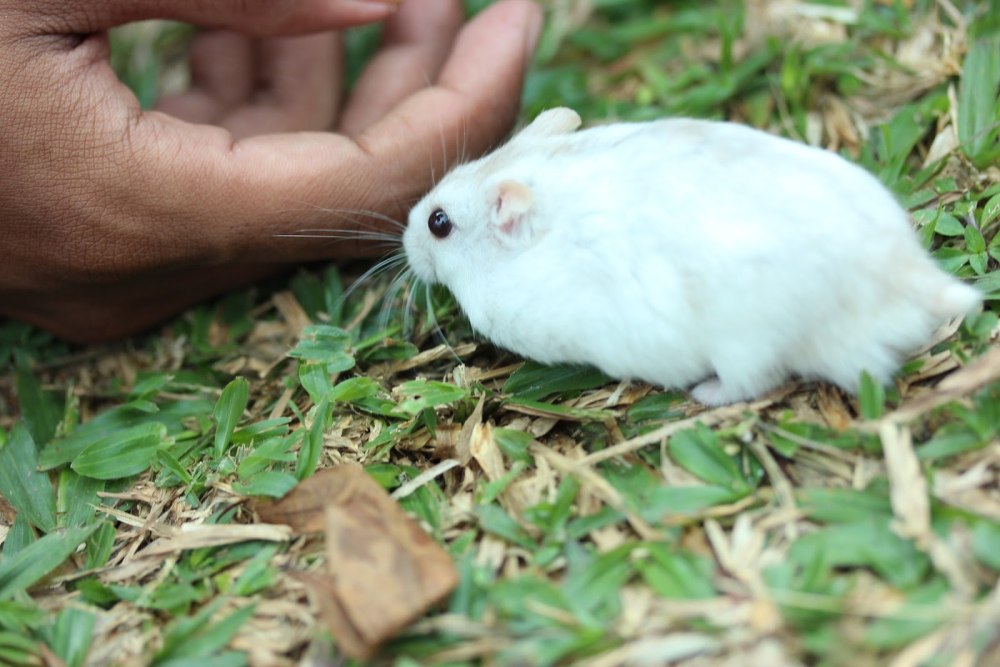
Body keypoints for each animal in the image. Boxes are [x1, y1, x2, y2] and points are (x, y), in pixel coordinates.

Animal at [402, 107, 981, 406]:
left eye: (439, 223)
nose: (404, 240)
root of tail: (913, 281)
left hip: (748, 344)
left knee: (753, 383)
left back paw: (703, 393)